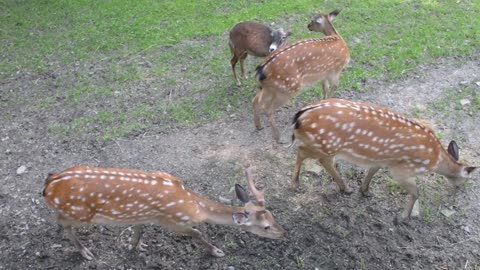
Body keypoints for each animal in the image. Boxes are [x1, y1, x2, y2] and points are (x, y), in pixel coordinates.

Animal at [42, 166, 284, 260]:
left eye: (273, 216)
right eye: (265, 227)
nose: (283, 233)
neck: (194, 206)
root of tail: (48, 186)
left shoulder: (145, 215)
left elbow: (139, 228)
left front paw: (134, 245)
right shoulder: (171, 220)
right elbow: (196, 232)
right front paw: (216, 251)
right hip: (80, 213)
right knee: (61, 221)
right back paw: (85, 252)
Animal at [253, 9, 350, 142]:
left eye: (313, 21)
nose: (308, 25)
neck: (338, 38)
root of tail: (260, 71)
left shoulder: (324, 73)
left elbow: (324, 88)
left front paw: (322, 102)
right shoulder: (336, 70)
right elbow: (333, 88)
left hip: (270, 88)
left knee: (255, 100)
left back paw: (259, 126)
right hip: (288, 88)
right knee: (268, 109)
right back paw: (278, 137)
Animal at [292, 98, 476, 223]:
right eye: (467, 179)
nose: (460, 190)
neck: (435, 159)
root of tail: (300, 116)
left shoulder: (385, 159)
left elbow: (373, 170)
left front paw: (365, 190)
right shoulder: (403, 169)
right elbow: (416, 191)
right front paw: (402, 217)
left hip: (324, 144)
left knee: (315, 157)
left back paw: (344, 188)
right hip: (326, 144)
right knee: (307, 153)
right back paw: (298, 183)